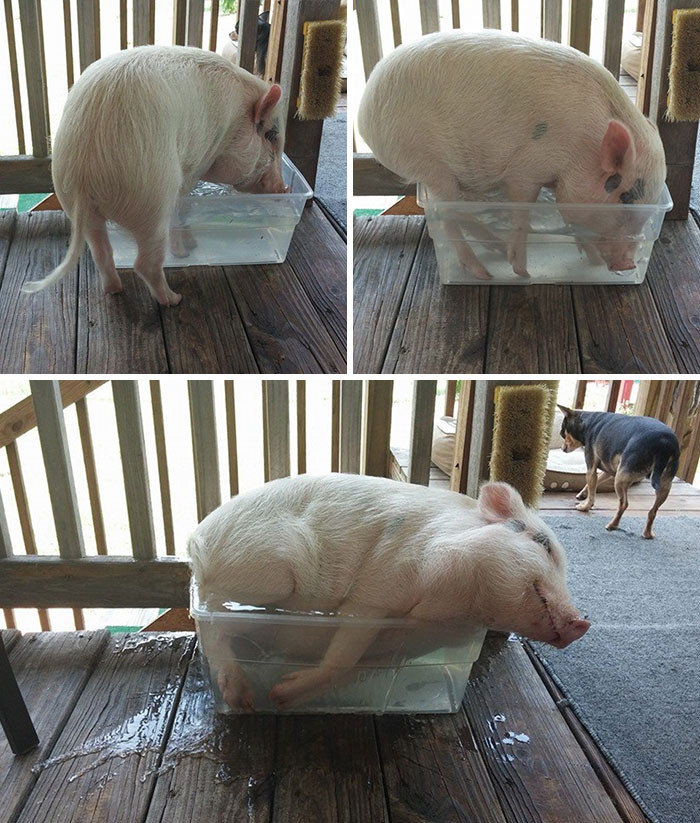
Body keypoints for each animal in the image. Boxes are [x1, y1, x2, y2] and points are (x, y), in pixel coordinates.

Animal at [22, 45, 286, 306]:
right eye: (271, 135)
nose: (283, 189)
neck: (234, 122)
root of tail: (85, 171)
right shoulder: (196, 164)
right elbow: (183, 207)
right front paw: (189, 249)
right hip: (152, 198)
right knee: (145, 262)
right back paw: (174, 298)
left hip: (75, 202)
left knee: (101, 252)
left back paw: (115, 289)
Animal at [188, 473, 590, 710]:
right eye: (544, 545)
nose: (582, 621)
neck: (452, 609)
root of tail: (197, 540)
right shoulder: (379, 587)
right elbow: (344, 651)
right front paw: (280, 694)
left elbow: (352, 666)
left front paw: (285, 697)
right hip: (270, 573)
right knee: (211, 619)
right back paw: (243, 699)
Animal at [357, 30, 667, 279]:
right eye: (625, 198)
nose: (628, 264)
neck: (585, 146)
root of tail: (364, 115)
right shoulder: (526, 167)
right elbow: (522, 213)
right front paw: (521, 272)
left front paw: (589, 258)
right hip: (429, 163)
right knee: (447, 215)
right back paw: (484, 273)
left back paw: (492, 246)